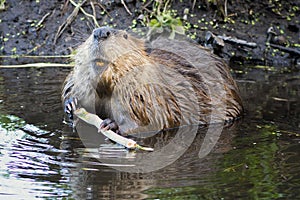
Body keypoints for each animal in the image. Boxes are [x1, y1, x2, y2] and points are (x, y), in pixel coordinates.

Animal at [61, 26, 244, 135]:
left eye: (125, 36)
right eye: (92, 32)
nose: (100, 32)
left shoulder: (149, 94)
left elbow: (154, 120)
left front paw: (111, 124)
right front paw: (71, 104)